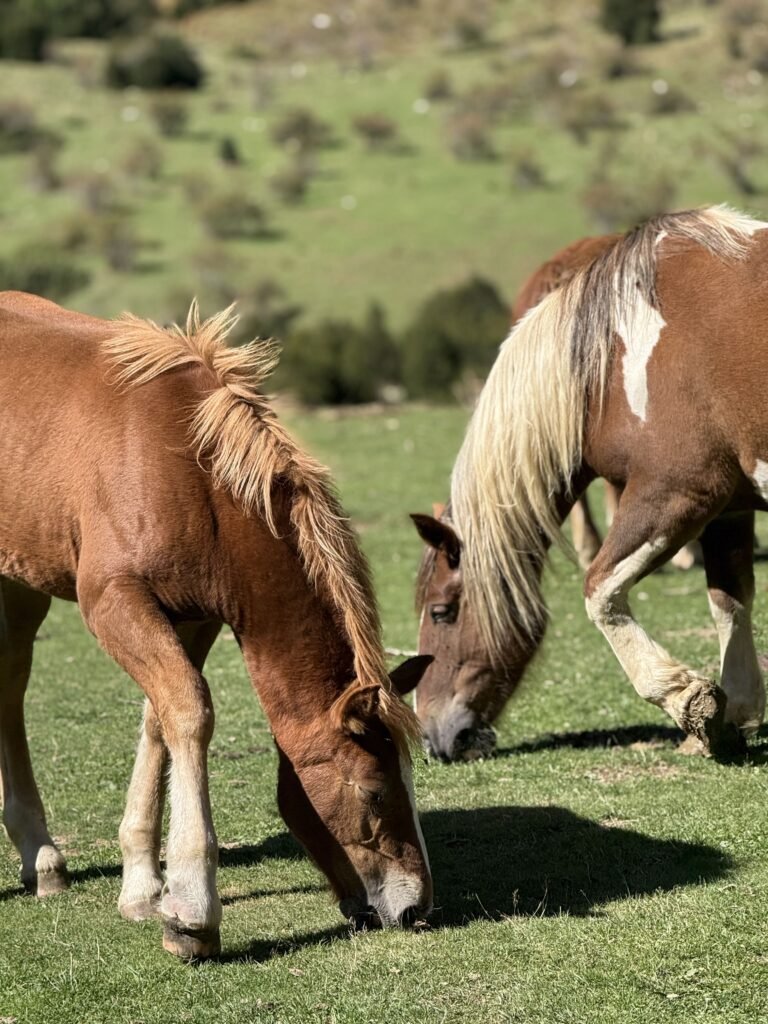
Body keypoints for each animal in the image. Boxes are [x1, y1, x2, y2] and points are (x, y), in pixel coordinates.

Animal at [0, 292, 433, 958]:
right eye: (374, 792)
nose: (418, 908)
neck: (180, 466)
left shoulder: (194, 615)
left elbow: (163, 721)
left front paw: (143, 886)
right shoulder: (113, 602)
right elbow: (190, 713)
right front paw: (191, 914)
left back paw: (39, 856)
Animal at [410, 206, 767, 763]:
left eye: (442, 612)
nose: (432, 737)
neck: (613, 360)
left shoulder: (679, 493)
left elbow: (599, 591)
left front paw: (686, 699)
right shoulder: (728, 508)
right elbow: (729, 600)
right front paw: (733, 712)